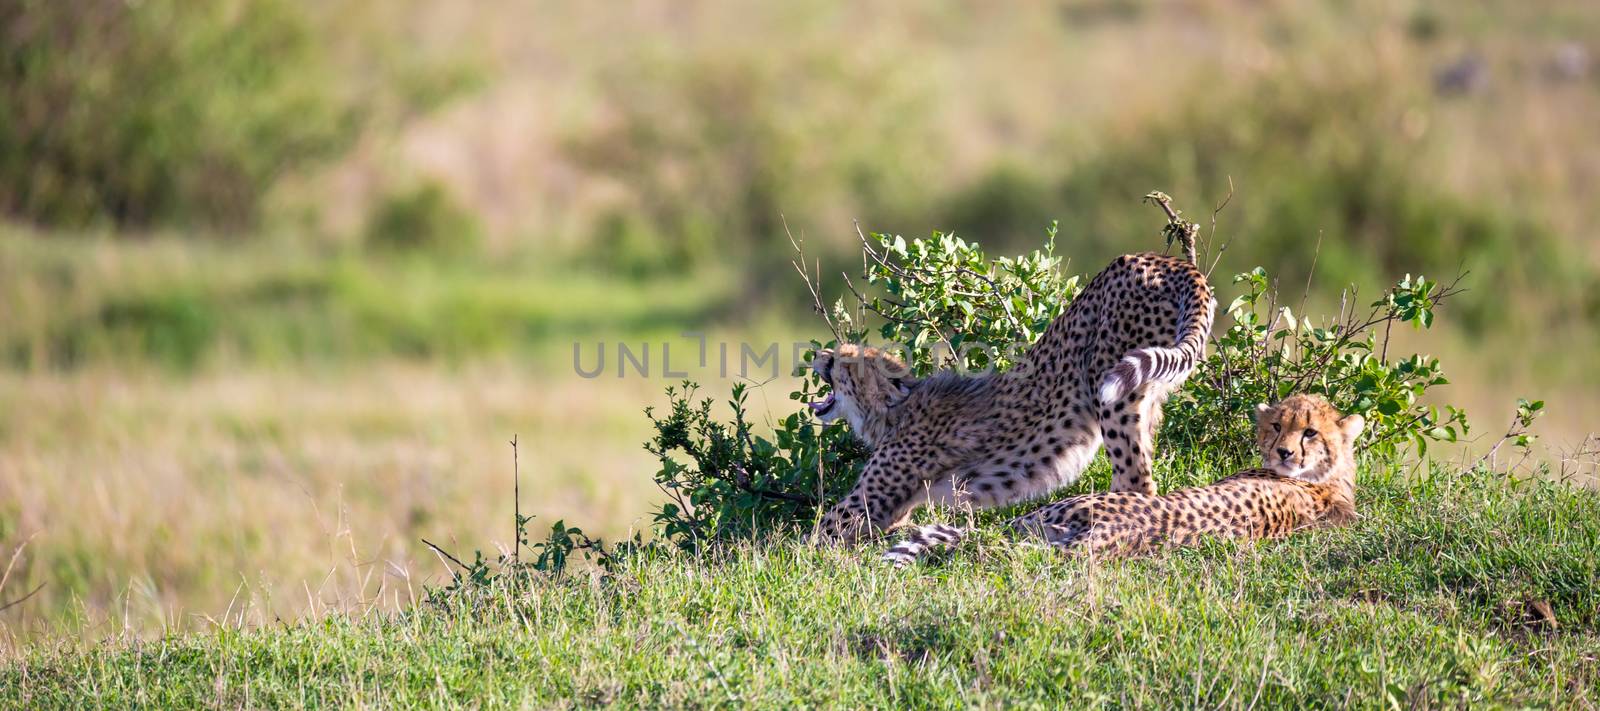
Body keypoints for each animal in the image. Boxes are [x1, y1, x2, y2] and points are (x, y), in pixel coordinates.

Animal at [812, 253, 1209, 541]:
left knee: (1137, 481)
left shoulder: (863, 507)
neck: (894, 411)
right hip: (1148, 391)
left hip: (1111, 389)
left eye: (842, 359)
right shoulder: (892, 511)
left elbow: (813, 539)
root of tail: (1166, 260)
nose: (818, 355)